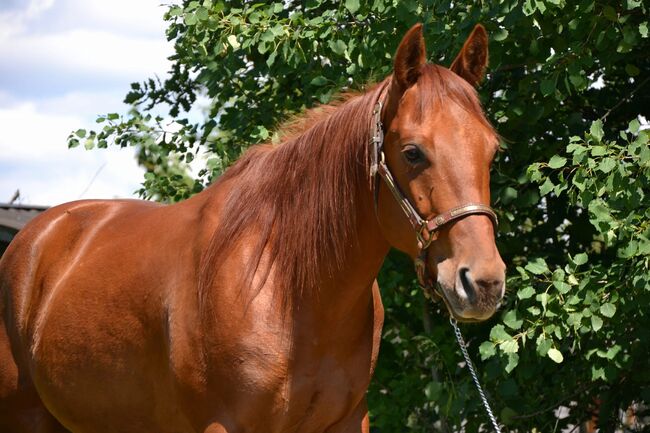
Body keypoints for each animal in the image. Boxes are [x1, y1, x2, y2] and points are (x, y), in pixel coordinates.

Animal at [0, 23, 505, 433]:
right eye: (413, 152)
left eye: (492, 150)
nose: (483, 283)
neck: (287, 287)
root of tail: (34, 238)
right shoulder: (225, 424)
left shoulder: (347, 421)